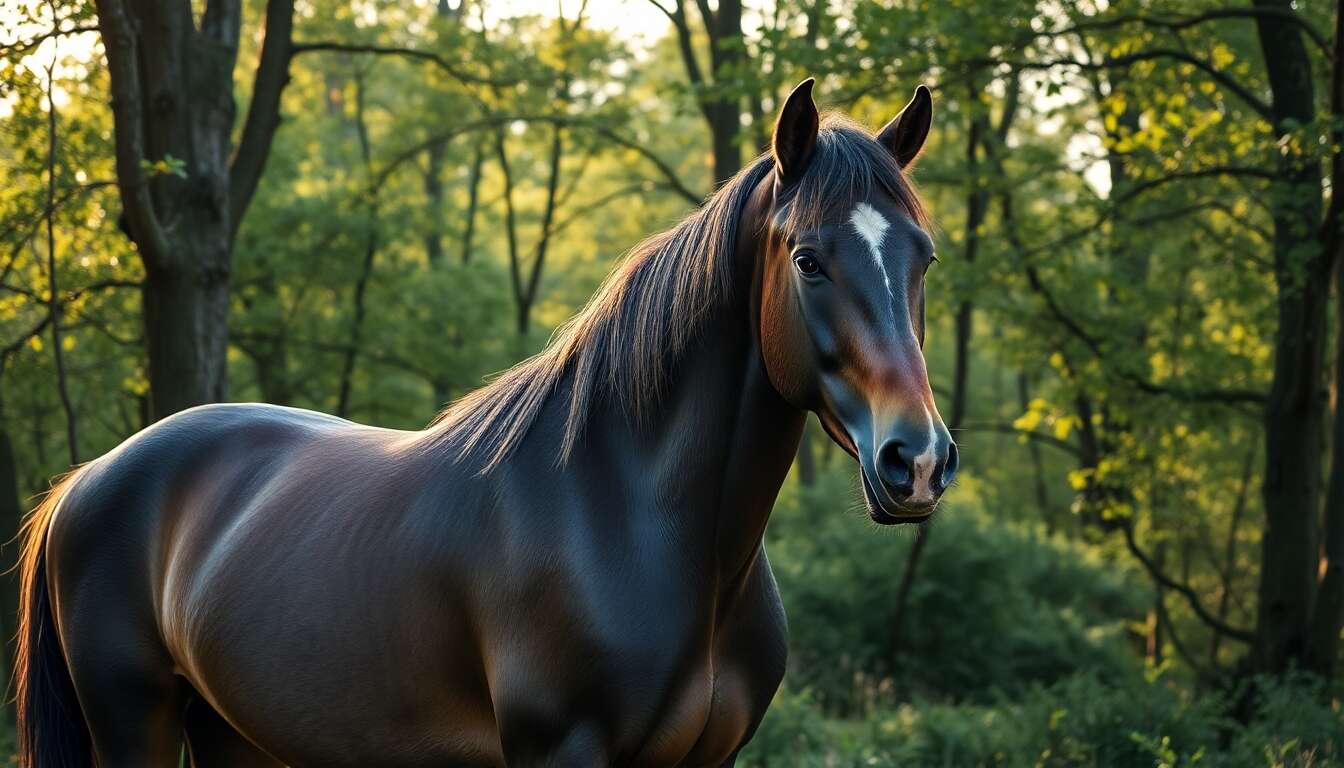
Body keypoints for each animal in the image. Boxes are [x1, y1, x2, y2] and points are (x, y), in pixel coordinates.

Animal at [16, 79, 955, 767]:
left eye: (924, 256)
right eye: (808, 260)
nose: (915, 461)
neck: (622, 515)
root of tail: (84, 483)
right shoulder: (560, 753)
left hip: (233, 735)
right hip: (132, 722)